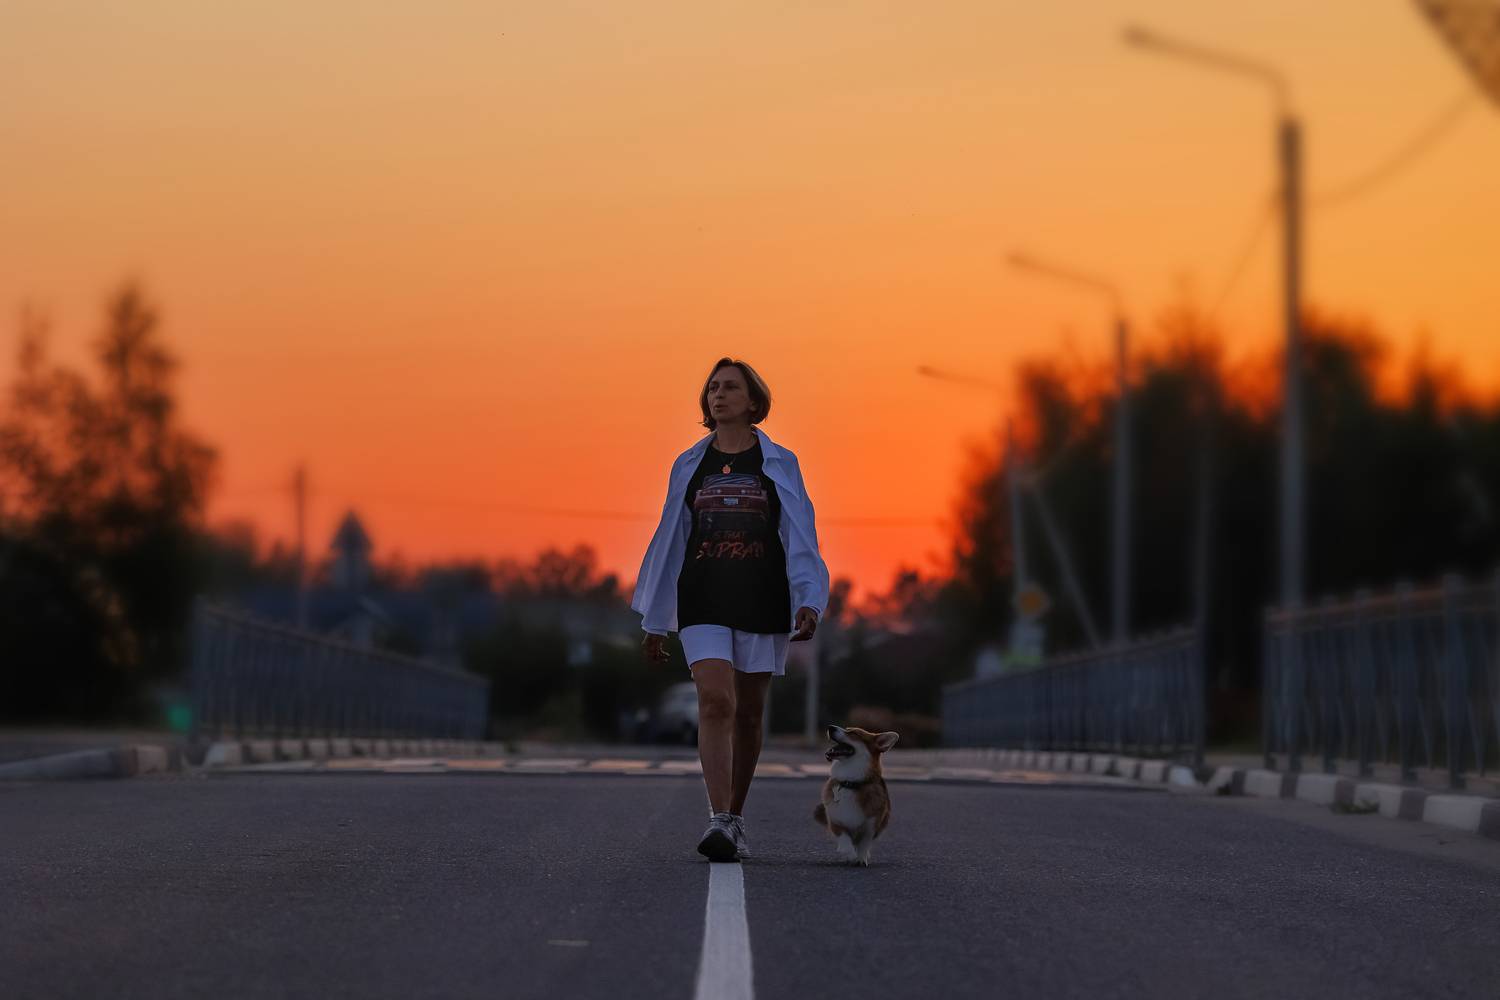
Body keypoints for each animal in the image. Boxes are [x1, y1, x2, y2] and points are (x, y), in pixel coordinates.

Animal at [812, 725, 899, 865]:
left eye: (854, 733)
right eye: (847, 728)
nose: (830, 727)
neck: (850, 782)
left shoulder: (870, 827)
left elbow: (864, 844)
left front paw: (861, 859)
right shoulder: (836, 822)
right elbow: (844, 839)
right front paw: (849, 854)